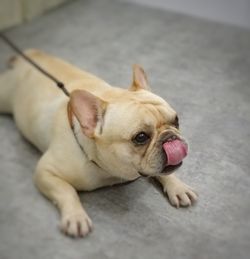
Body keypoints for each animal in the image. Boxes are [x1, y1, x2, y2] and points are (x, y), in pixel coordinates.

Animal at [0, 49, 198, 239]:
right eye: (141, 137)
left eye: (176, 121)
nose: (170, 138)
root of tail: (29, 58)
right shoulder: (45, 171)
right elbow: (66, 190)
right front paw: (76, 217)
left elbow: (166, 172)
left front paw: (178, 186)